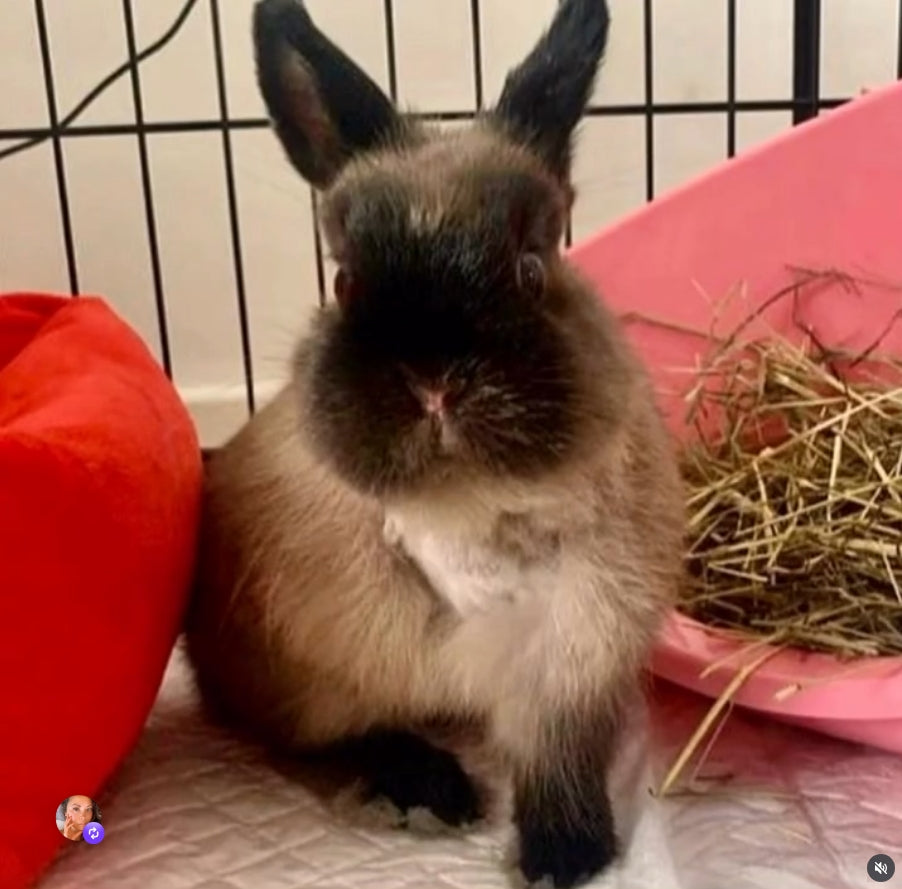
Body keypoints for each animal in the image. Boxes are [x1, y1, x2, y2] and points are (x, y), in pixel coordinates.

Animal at [184, 0, 686, 886]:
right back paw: (426, 786)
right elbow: (327, 735)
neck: (468, 509)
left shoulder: (570, 668)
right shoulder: (311, 668)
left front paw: (565, 855)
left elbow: (558, 763)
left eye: (531, 268)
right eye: (345, 280)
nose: (434, 380)